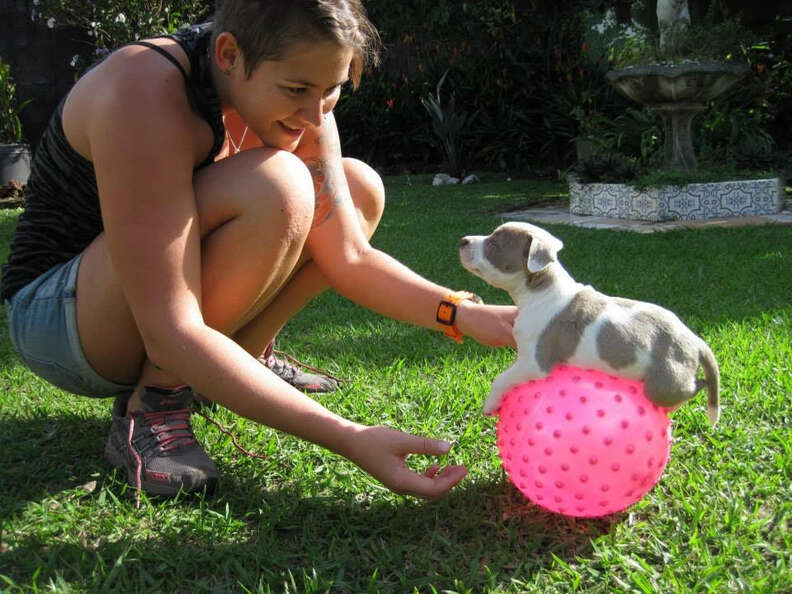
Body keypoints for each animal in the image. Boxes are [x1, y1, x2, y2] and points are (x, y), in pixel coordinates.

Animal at [460, 220, 720, 424]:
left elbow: (501, 379)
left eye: (495, 243)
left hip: (663, 384)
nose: (463, 240)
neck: (541, 288)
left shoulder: (533, 363)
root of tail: (695, 341)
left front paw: (490, 404)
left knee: (695, 386)